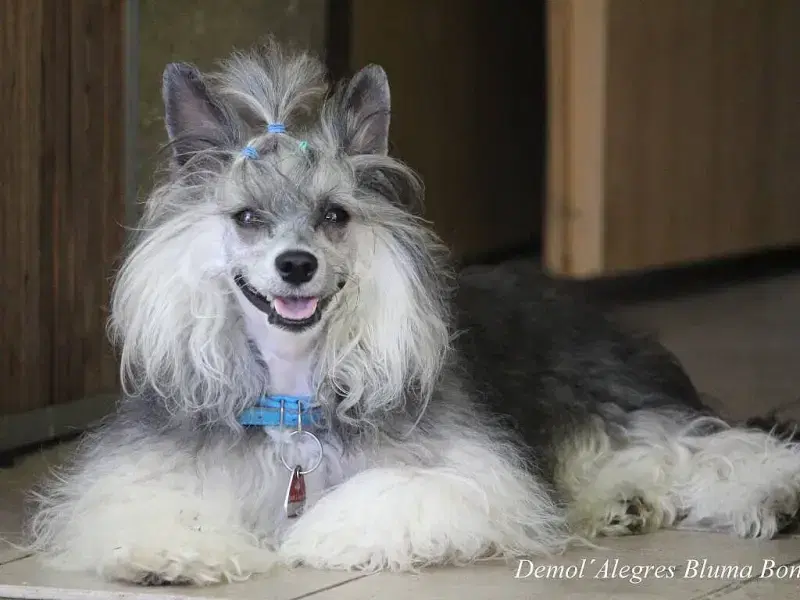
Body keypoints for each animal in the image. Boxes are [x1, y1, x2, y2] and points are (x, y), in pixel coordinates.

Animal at [26, 41, 800, 586]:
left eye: (335, 215)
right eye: (245, 218)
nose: (296, 265)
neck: (293, 392)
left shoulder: (467, 476)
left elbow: (383, 495)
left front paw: (311, 537)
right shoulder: (141, 481)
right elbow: (157, 511)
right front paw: (176, 557)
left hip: (603, 399)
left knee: (709, 446)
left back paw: (766, 495)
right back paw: (625, 503)